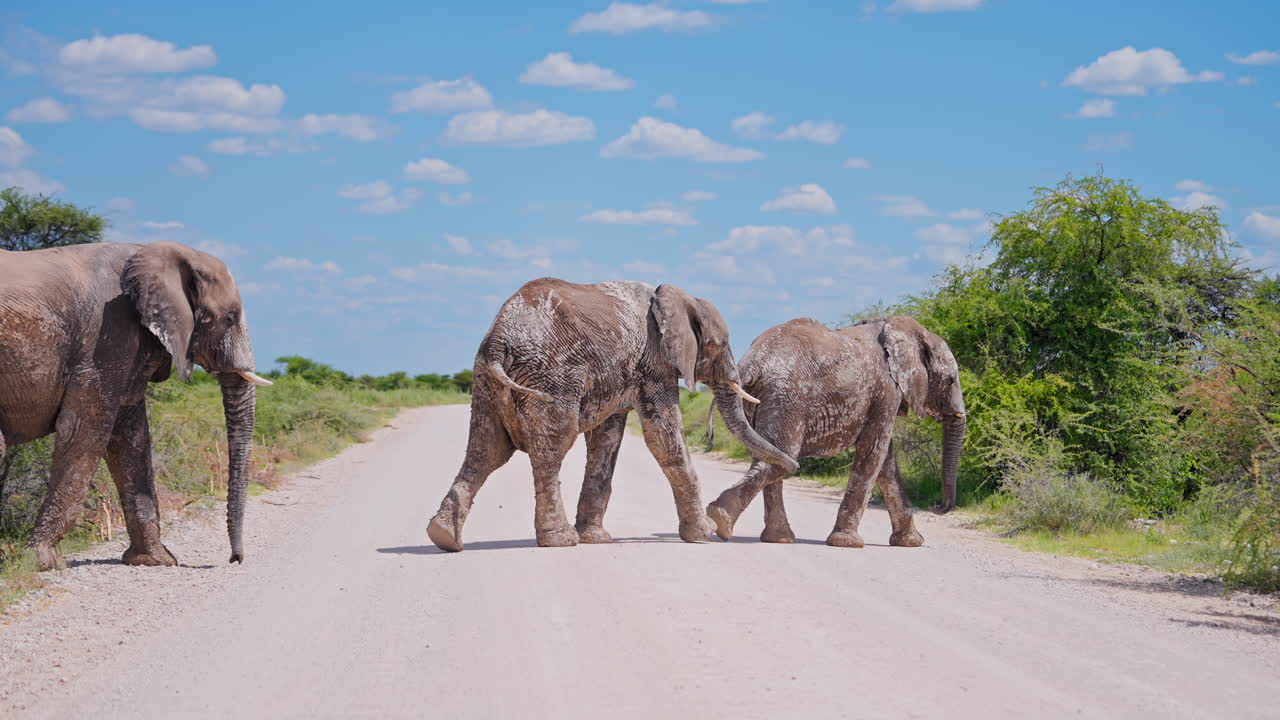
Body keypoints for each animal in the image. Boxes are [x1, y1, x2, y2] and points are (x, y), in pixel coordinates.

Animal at [0, 241, 272, 570]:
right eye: (229, 318)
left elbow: (130, 437)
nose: (234, 559)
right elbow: (84, 430)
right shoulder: (106, 336)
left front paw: (155, 560)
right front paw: (40, 563)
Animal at [426, 278, 800, 552]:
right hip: (550, 379)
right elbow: (664, 438)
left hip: (484, 383)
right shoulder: (653, 362)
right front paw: (703, 533)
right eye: (719, 344)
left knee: (485, 451)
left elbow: (606, 441)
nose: (796, 465)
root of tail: (497, 343)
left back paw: (444, 538)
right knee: (550, 451)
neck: (672, 296)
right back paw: (560, 541)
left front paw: (597, 539)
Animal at [705, 316, 966, 548]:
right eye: (951, 380)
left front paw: (911, 543)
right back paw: (721, 521)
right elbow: (873, 453)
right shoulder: (886, 391)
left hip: (763, 399)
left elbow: (886, 464)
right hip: (787, 399)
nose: (935, 506)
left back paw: (775, 538)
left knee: (769, 455)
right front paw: (848, 543)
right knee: (778, 457)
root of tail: (751, 361)